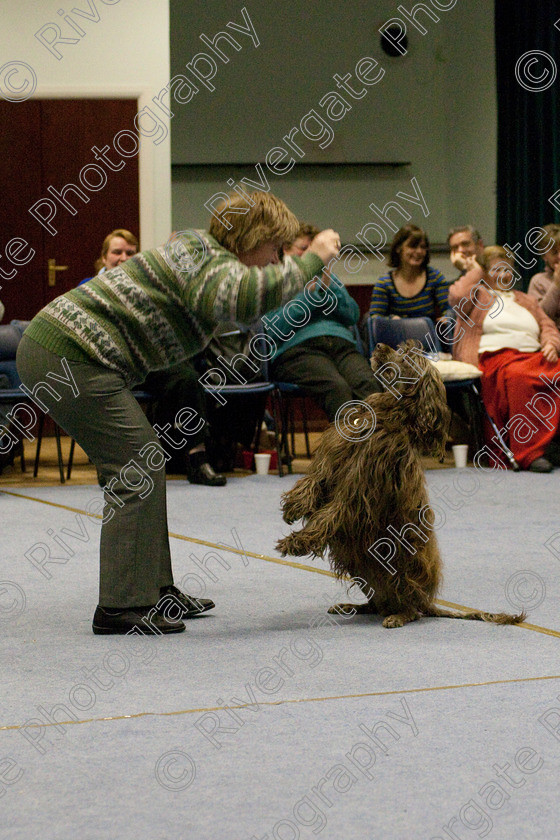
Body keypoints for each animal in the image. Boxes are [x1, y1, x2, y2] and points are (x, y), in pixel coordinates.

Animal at [278, 342, 528, 632]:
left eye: (407, 358)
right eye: (402, 348)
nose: (378, 346)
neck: (388, 412)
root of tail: (427, 602)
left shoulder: (359, 491)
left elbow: (329, 514)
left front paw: (297, 541)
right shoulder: (334, 455)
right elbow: (314, 479)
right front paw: (294, 506)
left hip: (400, 560)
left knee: (410, 608)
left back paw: (398, 615)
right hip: (361, 566)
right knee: (377, 601)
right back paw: (353, 606)